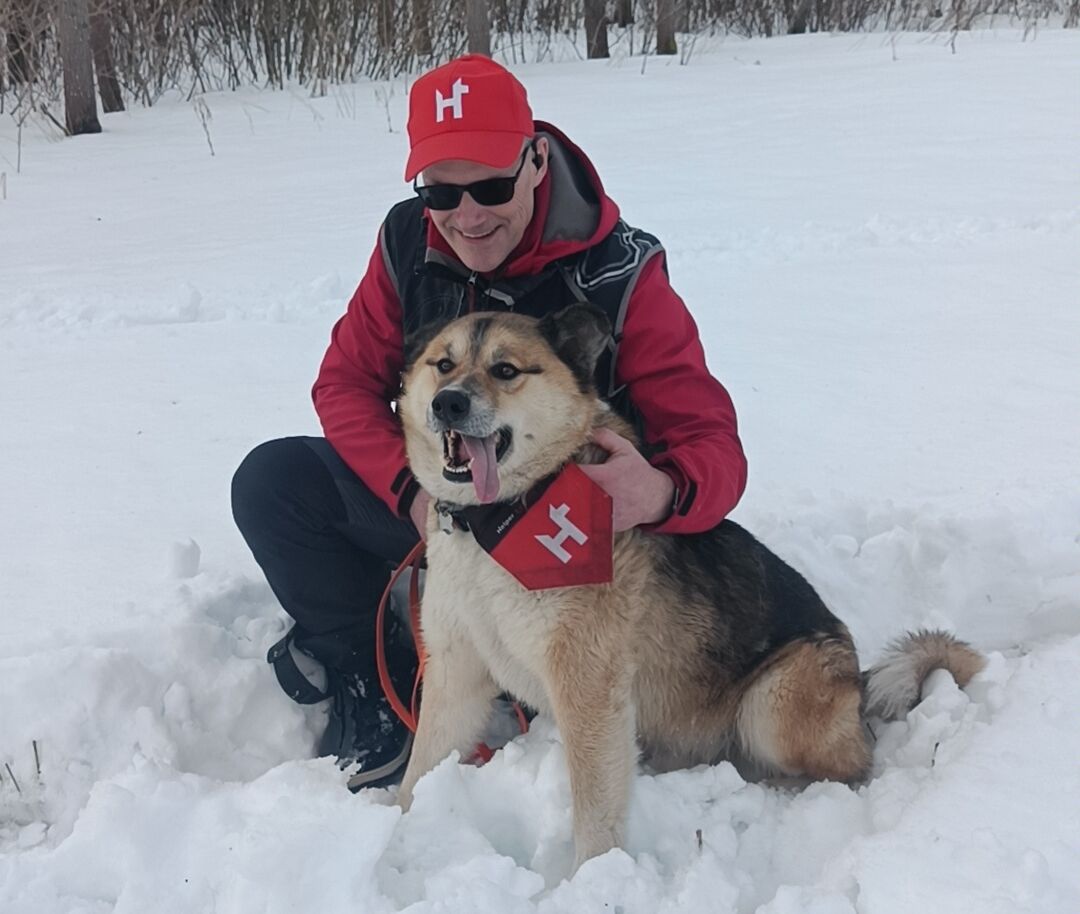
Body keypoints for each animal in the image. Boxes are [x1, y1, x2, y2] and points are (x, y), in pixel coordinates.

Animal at [395, 304, 984, 867]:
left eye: (506, 370)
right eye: (443, 364)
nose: (448, 404)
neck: (495, 522)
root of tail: (857, 687)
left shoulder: (588, 689)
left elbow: (595, 812)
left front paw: (591, 878)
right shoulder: (455, 671)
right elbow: (420, 770)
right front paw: (395, 829)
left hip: (771, 703)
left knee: (849, 770)